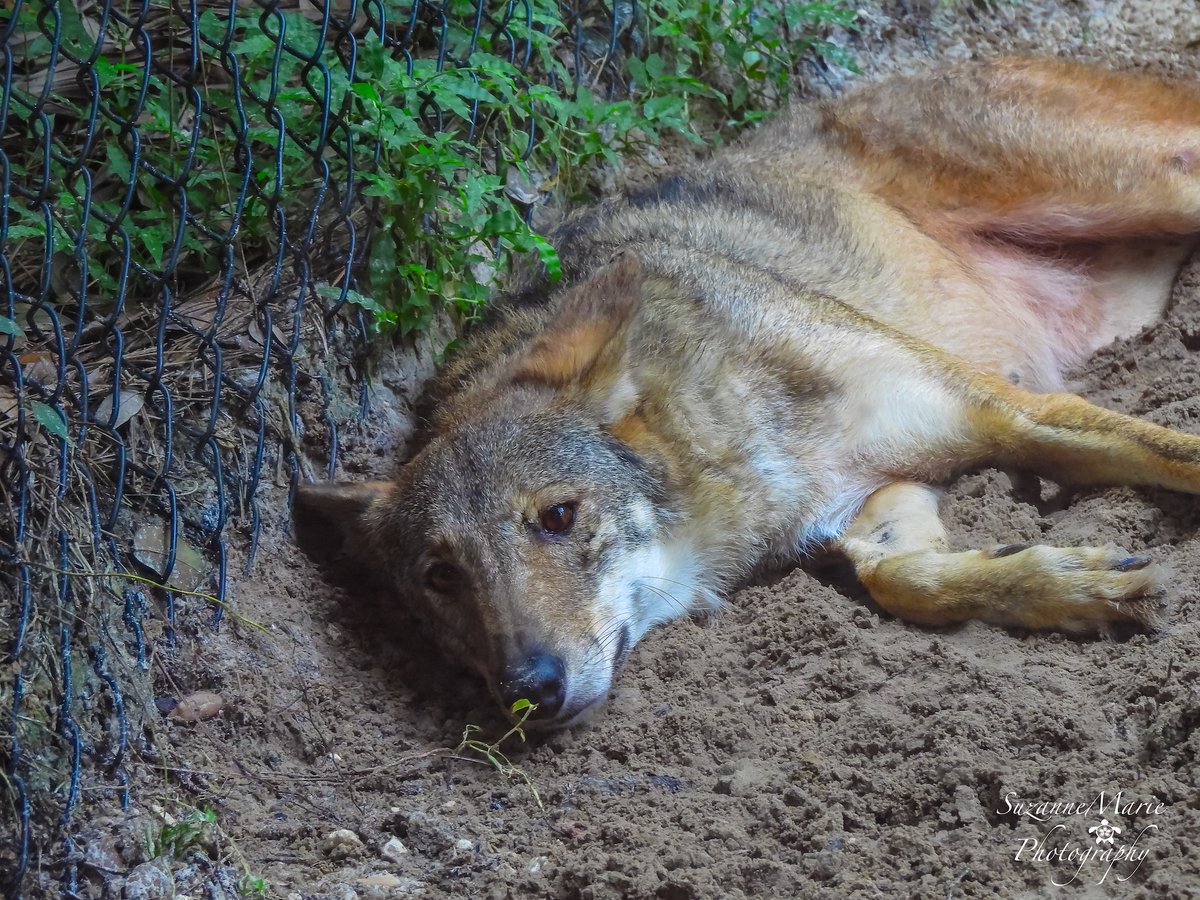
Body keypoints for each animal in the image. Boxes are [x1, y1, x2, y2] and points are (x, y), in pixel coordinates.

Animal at [297, 59, 1200, 728]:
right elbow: (904, 578)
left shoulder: (1007, 408)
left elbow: (1165, 451)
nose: (528, 691)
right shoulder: (871, 502)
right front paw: (1071, 582)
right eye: (440, 577)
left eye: (557, 517)